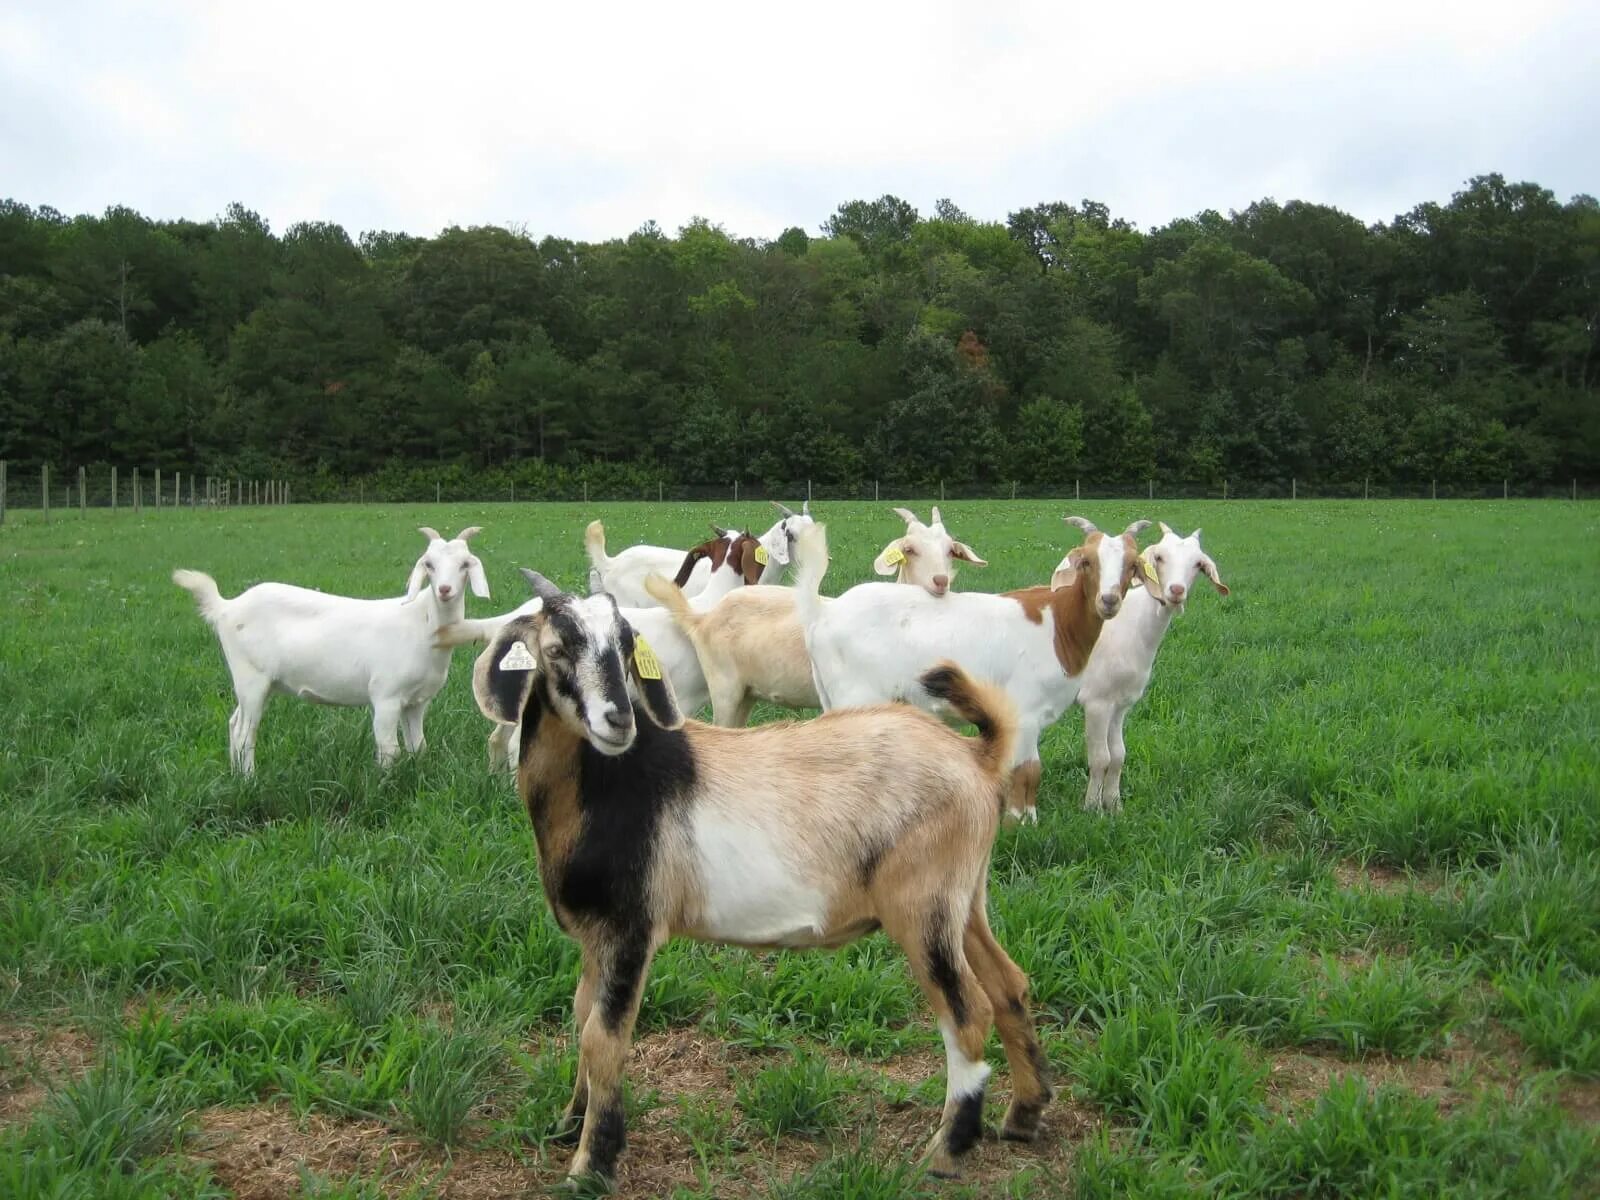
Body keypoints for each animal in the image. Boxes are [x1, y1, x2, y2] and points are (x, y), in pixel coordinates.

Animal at [170, 528, 486, 774]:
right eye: (429, 564)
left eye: (464, 564)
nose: (444, 590)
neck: (421, 622)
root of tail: (226, 607)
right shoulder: (386, 696)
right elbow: (389, 749)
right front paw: (384, 786)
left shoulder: (417, 702)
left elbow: (418, 746)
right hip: (251, 677)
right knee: (245, 733)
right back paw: (249, 780)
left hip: (261, 683)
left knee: (234, 724)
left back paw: (237, 775)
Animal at [460, 569, 1049, 1190]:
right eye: (556, 648)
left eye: (625, 646)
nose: (618, 720)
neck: (610, 785)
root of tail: (977, 758)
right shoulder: (596, 936)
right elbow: (580, 1017)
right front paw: (569, 1123)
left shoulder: (631, 930)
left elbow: (604, 1039)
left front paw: (590, 1166)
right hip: (965, 899)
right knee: (1008, 985)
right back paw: (1024, 1114)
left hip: (923, 905)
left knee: (968, 1012)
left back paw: (946, 1150)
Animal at [796, 521, 1152, 825]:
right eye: (1087, 562)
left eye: (1132, 565)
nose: (1108, 600)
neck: (1057, 624)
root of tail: (822, 612)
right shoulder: (1023, 710)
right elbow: (1027, 769)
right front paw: (1021, 823)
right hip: (856, 695)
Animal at [1081, 521, 1228, 812]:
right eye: (1158, 557)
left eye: (1198, 564)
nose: (1176, 591)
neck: (1132, 625)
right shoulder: (1096, 702)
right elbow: (1100, 758)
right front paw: (1091, 808)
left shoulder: (1120, 704)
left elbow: (1118, 755)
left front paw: (1114, 805)